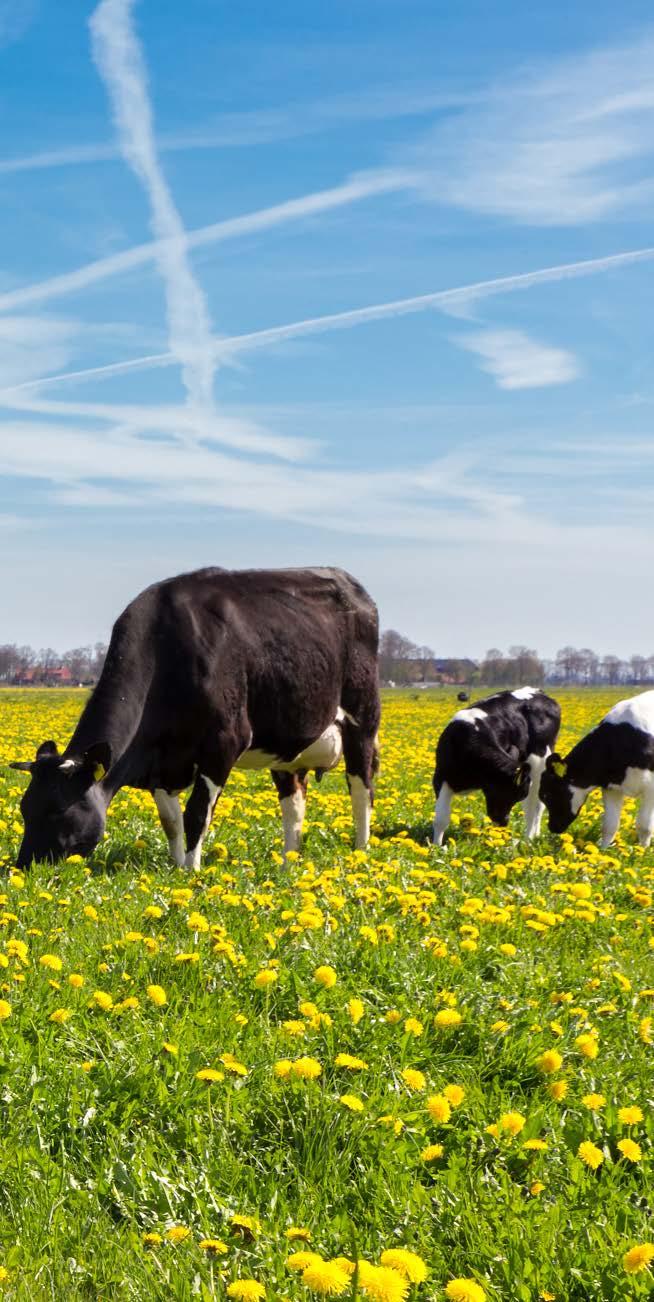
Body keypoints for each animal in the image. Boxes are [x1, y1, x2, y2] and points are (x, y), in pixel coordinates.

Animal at [10, 565, 380, 869]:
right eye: (25, 808)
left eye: (57, 809)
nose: (24, 867)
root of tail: (351, 583)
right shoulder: (162, 763)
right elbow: (171, 821)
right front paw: (175, 868)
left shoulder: (224, 743)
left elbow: (197, 814)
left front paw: (192, 872)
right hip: (288, 745)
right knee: (294, 804)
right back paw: (287, 866)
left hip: (362, 718)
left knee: (361, 787)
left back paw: (360, 854)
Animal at [432, 687, 560, 848]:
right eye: (503, 792)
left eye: (516, 797)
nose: (503, 822)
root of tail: (538, 691)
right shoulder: (441, 778)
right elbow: (441, 818)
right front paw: (436, 846)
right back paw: (534, 836)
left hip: (540, 761)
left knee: (534, 806)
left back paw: (528, 840)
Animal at [539, 687, 654, 848]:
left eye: (547, 795)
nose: (552, 827)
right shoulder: (612, 788)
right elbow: (609, 825)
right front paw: (603, 849)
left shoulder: (650, 788)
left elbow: (644, 826)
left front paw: (643, 851)